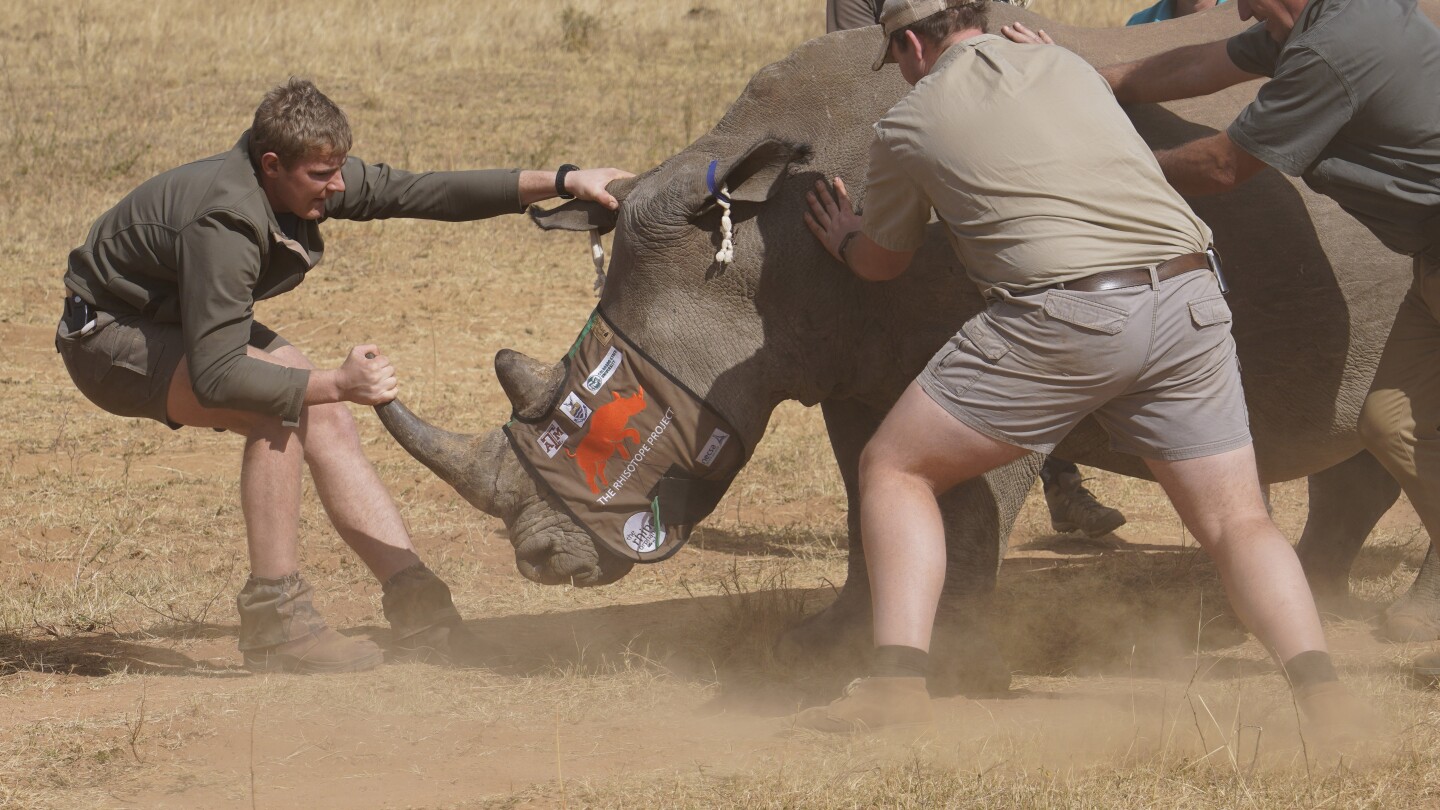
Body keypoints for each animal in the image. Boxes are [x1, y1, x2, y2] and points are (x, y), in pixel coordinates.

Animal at [374, 3, 1440, 691]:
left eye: (596, 415)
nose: (540, 565)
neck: (753, 244)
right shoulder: (850, 359)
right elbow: (864, 495)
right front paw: (824, 645)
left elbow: (965, 504)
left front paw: (951, 665)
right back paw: (1299, 601)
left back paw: (1396, 622)